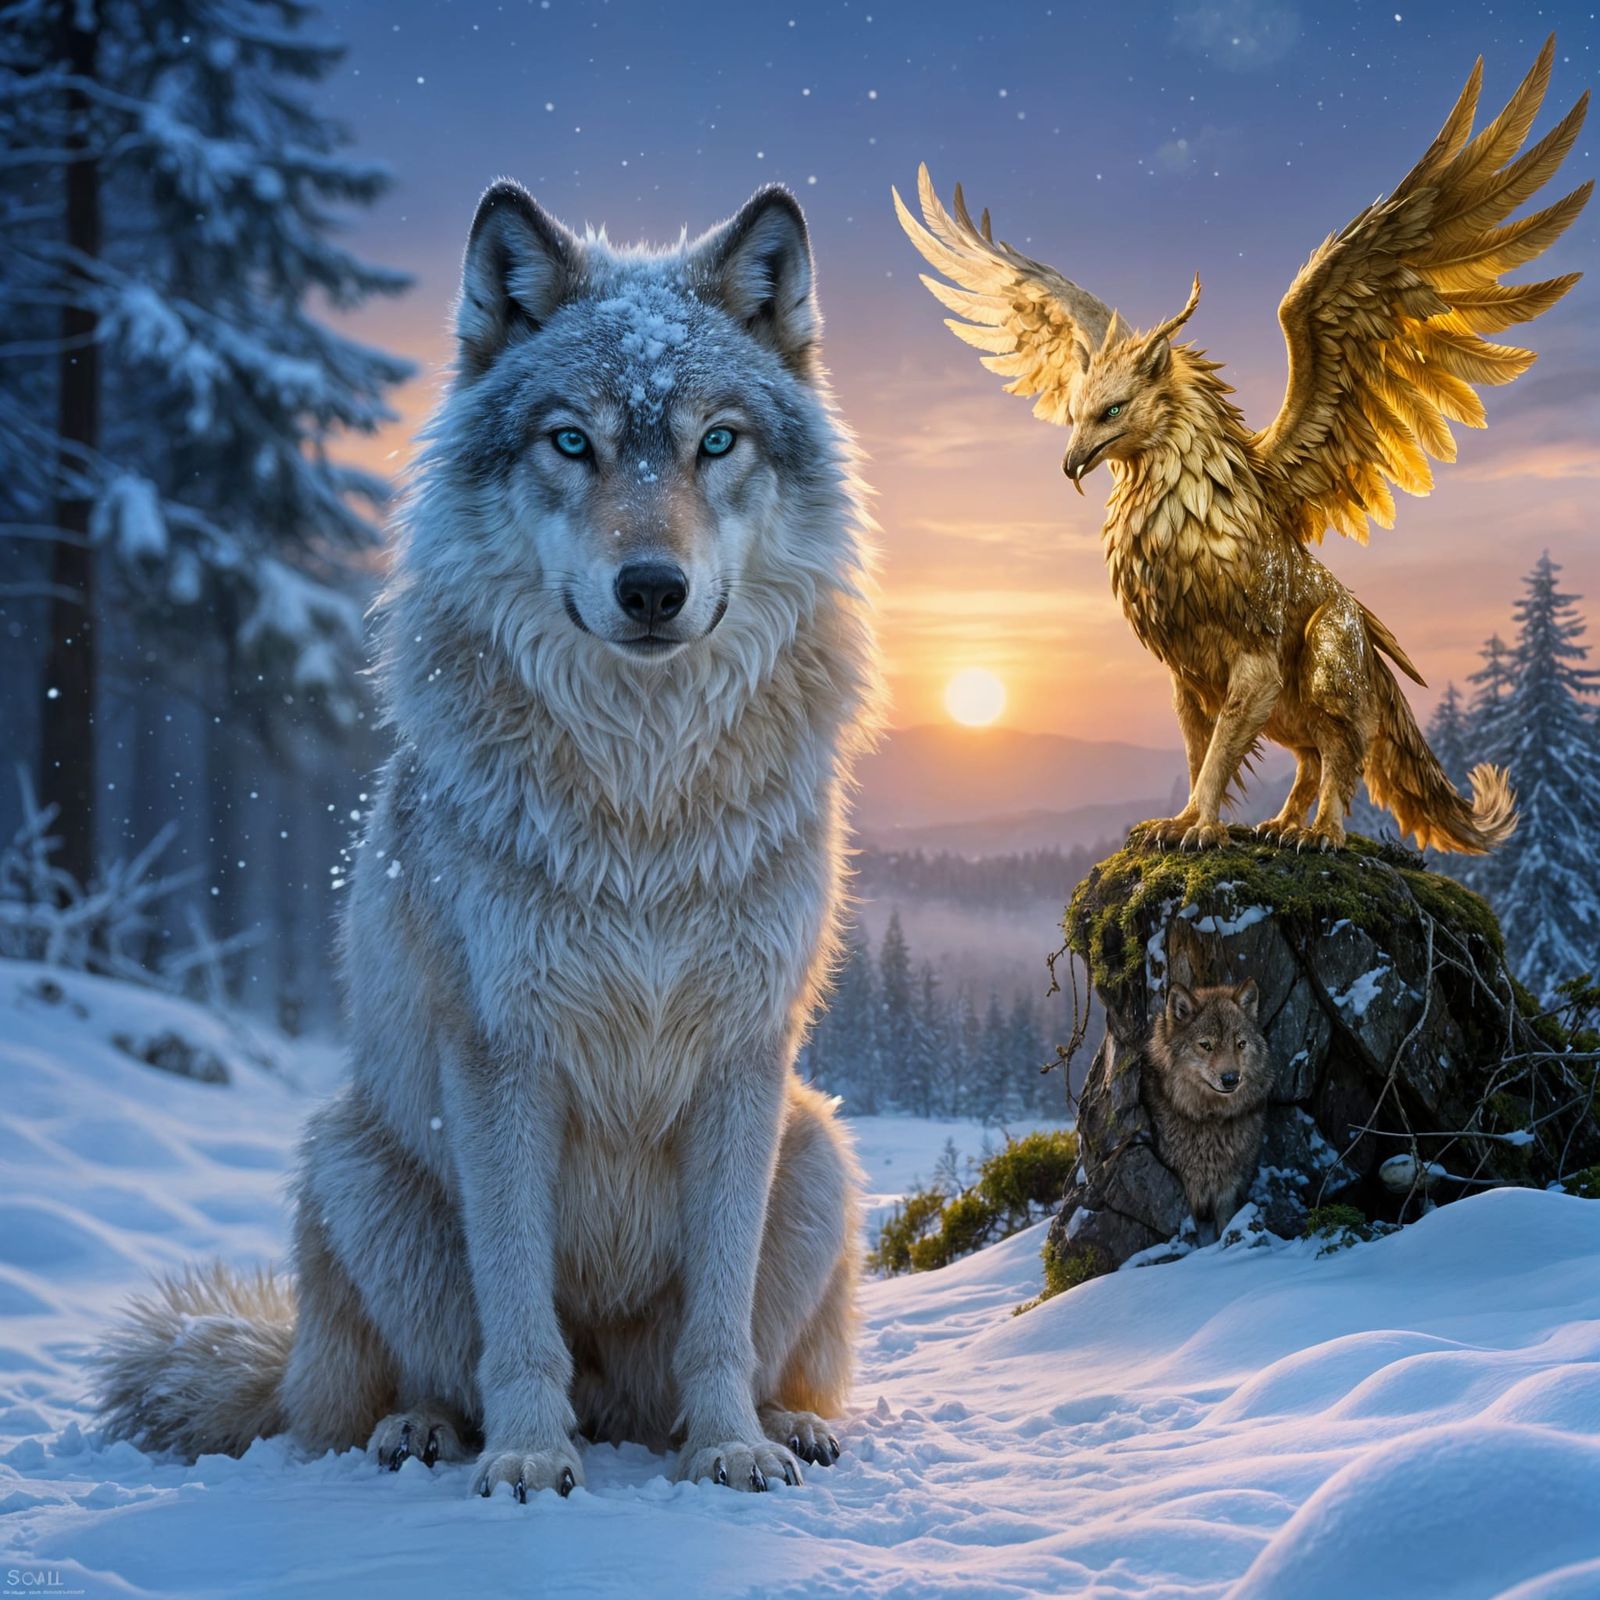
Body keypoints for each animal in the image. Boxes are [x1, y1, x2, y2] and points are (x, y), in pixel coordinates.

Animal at [94, 179, 882, 1499]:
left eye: (716, 442)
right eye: (572, 442)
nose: (652, 587)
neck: (641, 801)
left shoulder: (744, 1056)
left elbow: (718, 1318)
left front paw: (729, 1445)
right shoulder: (502, 1055)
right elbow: (514, 1310)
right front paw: (523, 1457)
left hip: (815, 1147)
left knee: (756, 1360)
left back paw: (789, 1424)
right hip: (354, 1164)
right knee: (397, 1383)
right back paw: (421, 1431)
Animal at [1143, 981, 1275, 1242]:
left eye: (1240, 1044)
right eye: (1206, 1045)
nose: (1231, 1079)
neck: (1210, 1120)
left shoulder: (1228, 1185)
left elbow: (1224, 1225)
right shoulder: (1185, 1183)